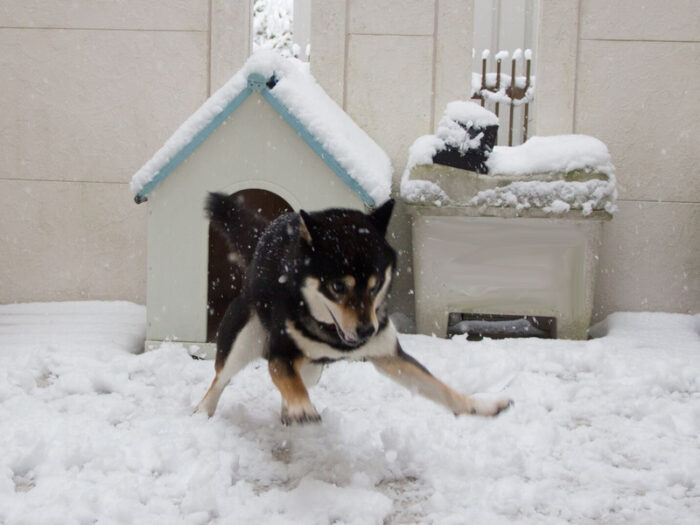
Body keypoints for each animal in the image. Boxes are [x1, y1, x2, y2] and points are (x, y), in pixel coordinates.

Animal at [194, 194, 512, 424]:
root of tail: (264, 234)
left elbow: (439, 387)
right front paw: (302, 407)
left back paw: (286, 413)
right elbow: (288, 380)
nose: (366, 331)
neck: (332, 336)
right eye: (337, 287)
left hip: (313, 369)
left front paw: (480, 405)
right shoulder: (281, 354)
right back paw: (203, 413)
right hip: (243, 340)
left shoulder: (389, 354)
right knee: (220, 379)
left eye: (376, 284)